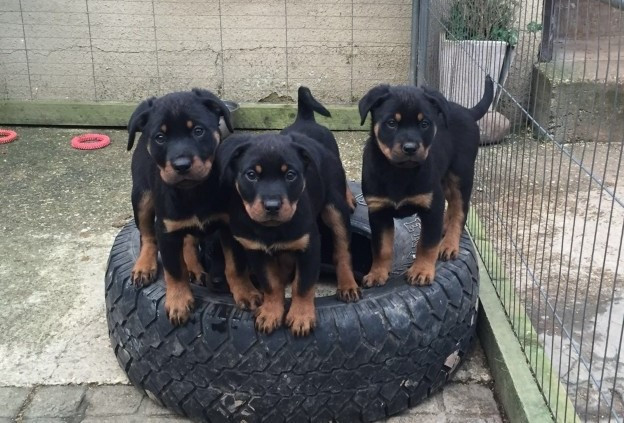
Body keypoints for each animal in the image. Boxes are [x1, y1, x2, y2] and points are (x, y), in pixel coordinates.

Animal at [127, 88, 236, 324]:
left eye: (198, 131)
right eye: (160, 137)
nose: (182, 165)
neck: (194, 191)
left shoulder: (228, 225)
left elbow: (233, 264)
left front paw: (246, 293)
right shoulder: (167, 231)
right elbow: (174, 270)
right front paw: (178, 302)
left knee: (188, 240)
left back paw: (194, 267)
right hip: (142, 197)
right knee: (147, 235)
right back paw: (144, 266)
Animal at [358, 76, 494, 288]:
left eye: (424, 124)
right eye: (391, 123)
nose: (410, 148)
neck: (399, 172)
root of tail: (466, 111)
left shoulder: (431, 206)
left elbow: (428, 243)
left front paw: (421, 271)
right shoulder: (378, 211)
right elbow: (381, 247)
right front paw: (377, 273)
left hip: (461, 176)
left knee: (459, 211)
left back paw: (449, 245)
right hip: (445, 181)